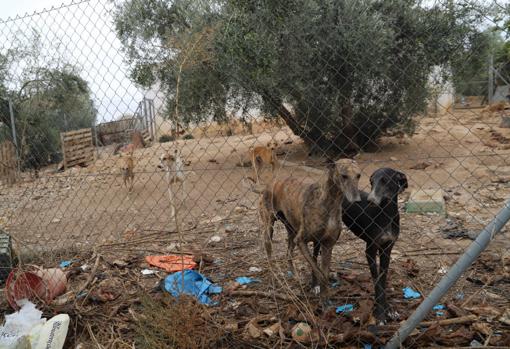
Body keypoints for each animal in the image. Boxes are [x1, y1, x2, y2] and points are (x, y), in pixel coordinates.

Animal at [258, 158, 362, 296]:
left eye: (358, 175)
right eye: (343, 176)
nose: (357, 200)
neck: (330, 202)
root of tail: (270, 183)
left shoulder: (324, 243)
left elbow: (317, 265)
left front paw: (318, 290)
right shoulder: (301, 240)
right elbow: (318, 270)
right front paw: (320, 287)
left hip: (292, 232)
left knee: (288, 255)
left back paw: (295, 277)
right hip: (269, 230)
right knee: (269, 257)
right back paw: (272, 283)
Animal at [340, 167, 408, 322]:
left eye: (385, 180)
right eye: (371, 181)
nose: (370, 200)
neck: (386, 214)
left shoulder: (387, 249)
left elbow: (382, 280)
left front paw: (389, 310)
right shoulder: (370, 250)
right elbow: (376, 282)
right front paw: (380, 314)